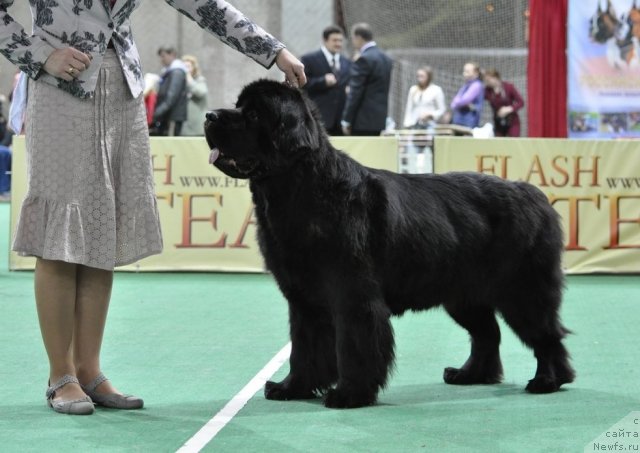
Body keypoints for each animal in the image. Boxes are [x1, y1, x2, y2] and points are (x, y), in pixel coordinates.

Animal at [205, 79, 576, 408]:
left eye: (254, 115)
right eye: (239, 106)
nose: (209, 115)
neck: (300, 190)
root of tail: (533, 194)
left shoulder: (353, 295)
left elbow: (353, 346)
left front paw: (349, 395)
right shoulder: (303, 298)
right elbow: (304, 348)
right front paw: (292, 388)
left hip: (522, 291)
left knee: (546, 335)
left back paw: (548, 380)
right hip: (463, 295)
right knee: (488, 334)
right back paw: (470, 375)